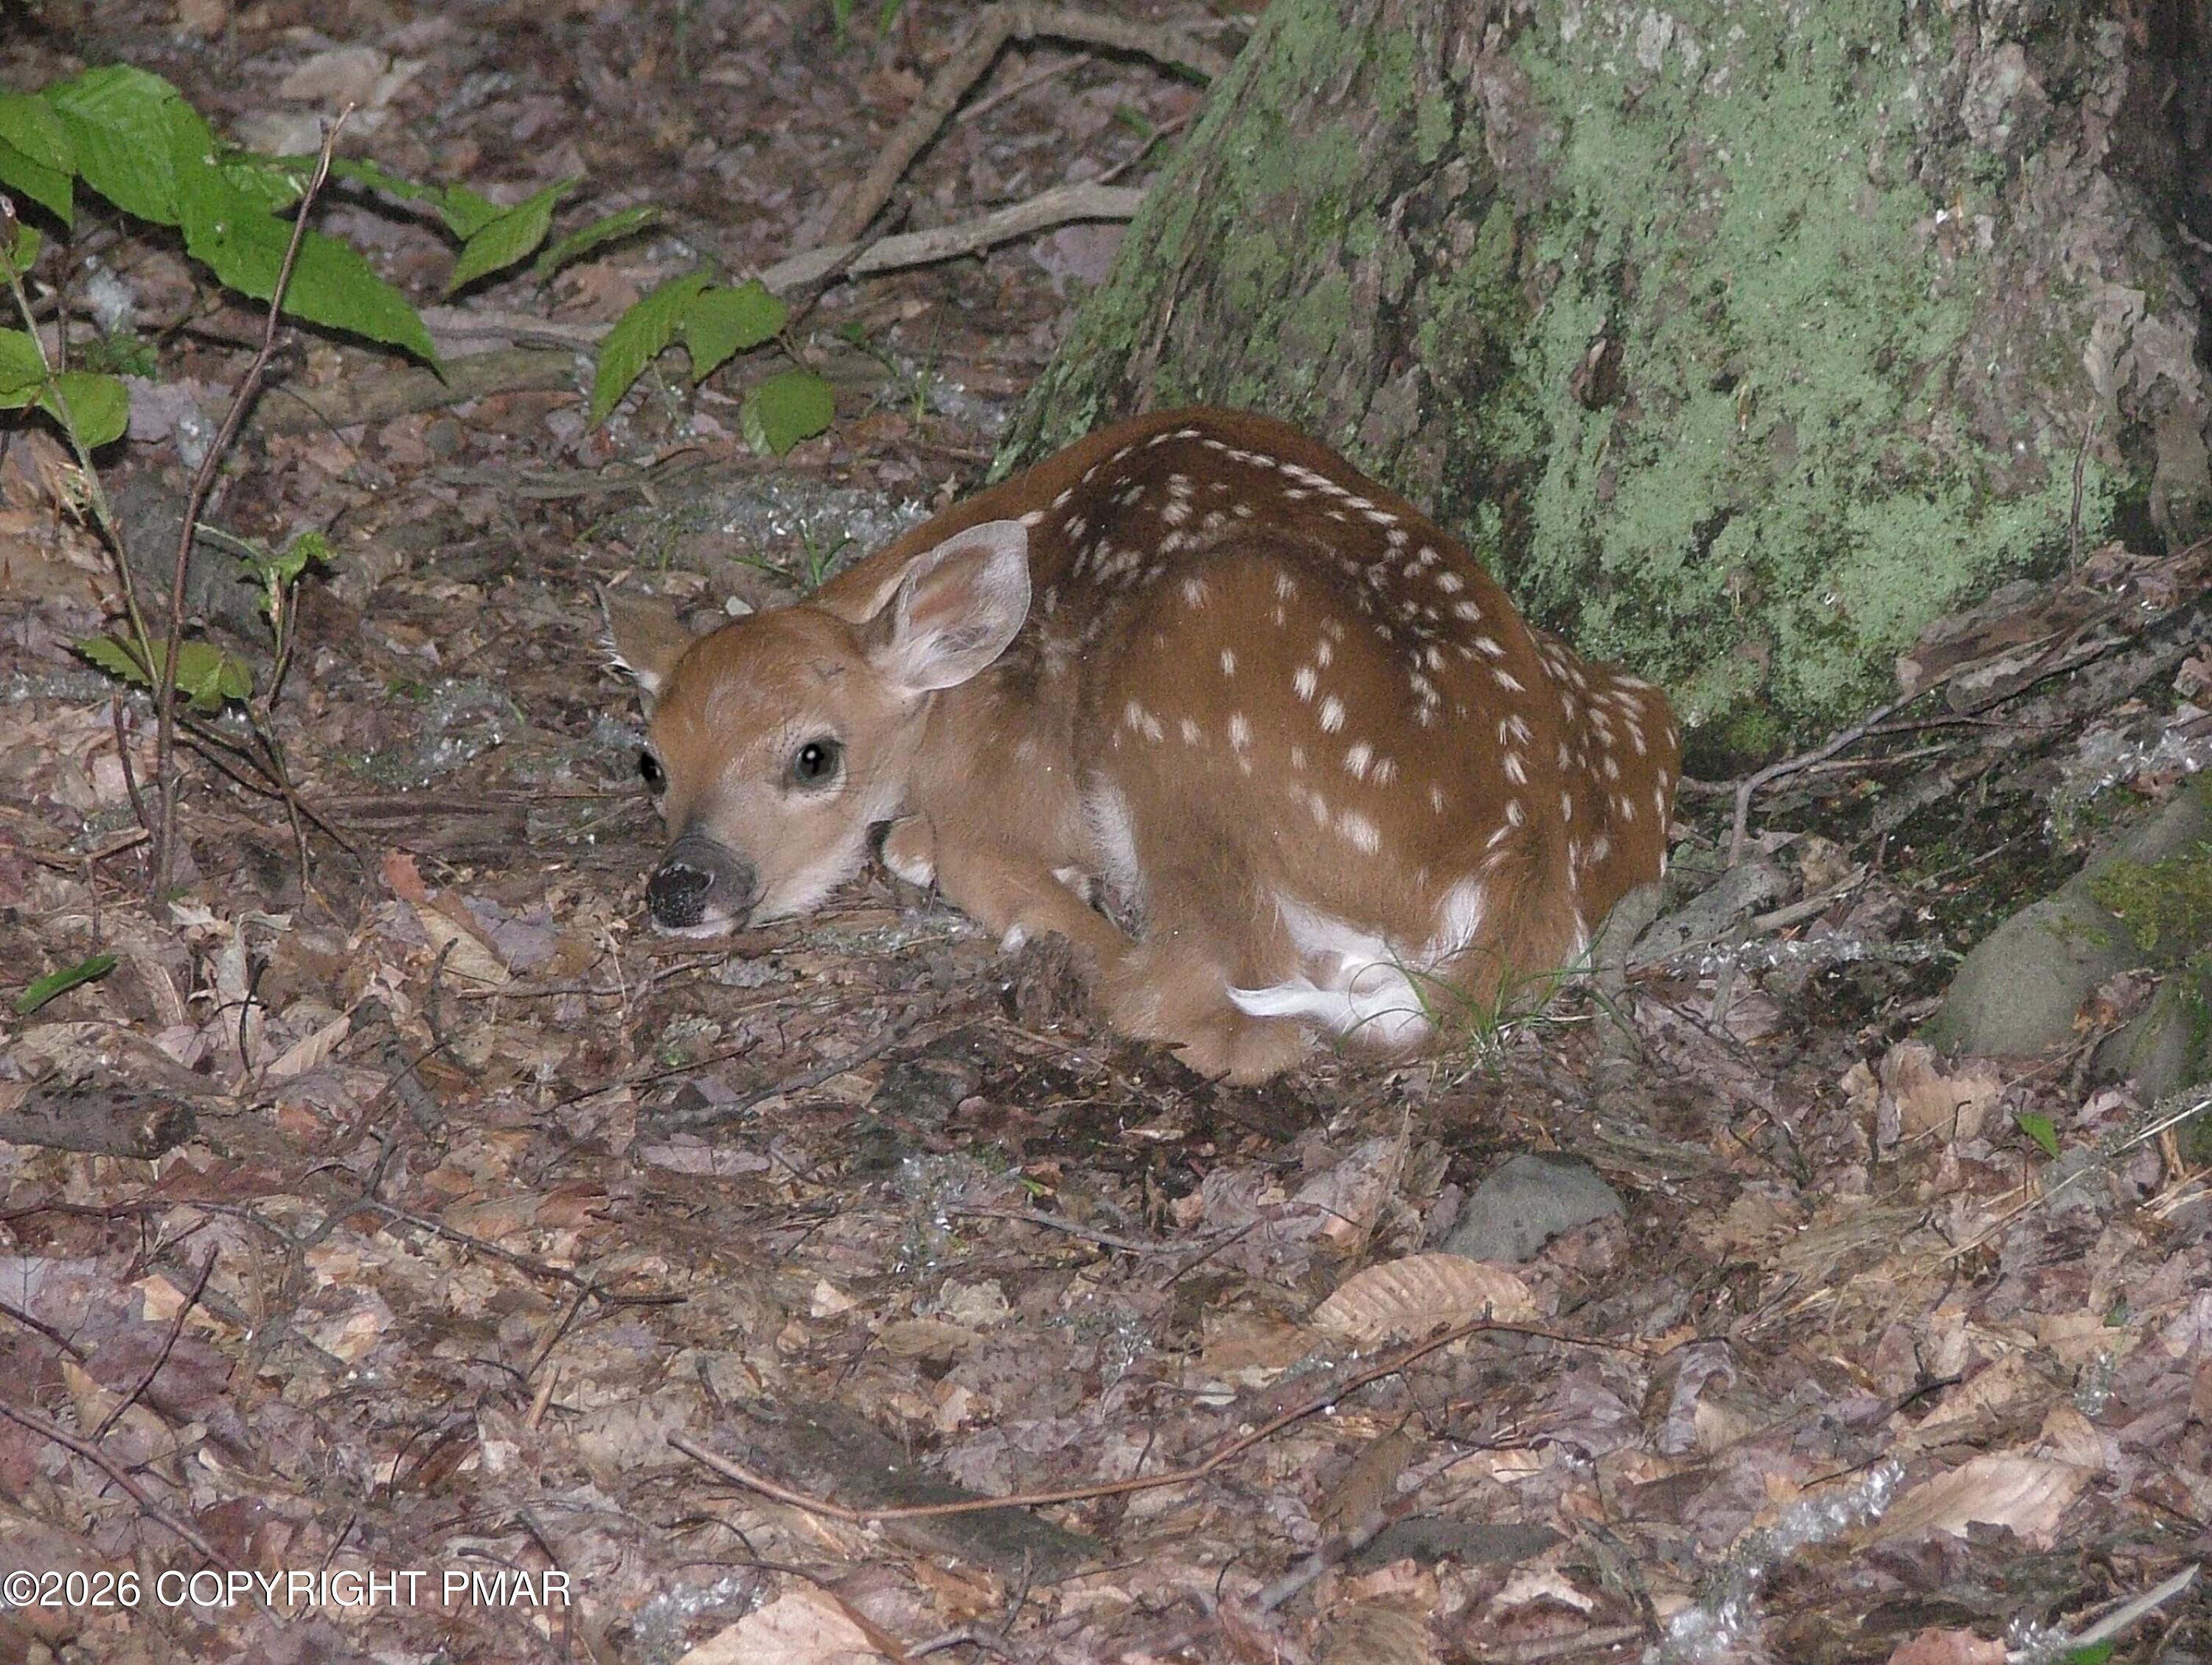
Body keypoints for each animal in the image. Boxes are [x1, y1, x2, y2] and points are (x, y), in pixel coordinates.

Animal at [600, 408, 1679, 1083]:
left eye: (814, 756)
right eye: (651, 761)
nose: (683, 884)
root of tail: (1523, 869)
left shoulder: (1015, 778)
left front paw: (932, 850)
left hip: (1189, 672)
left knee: (1211, 998)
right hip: (1636, 710)